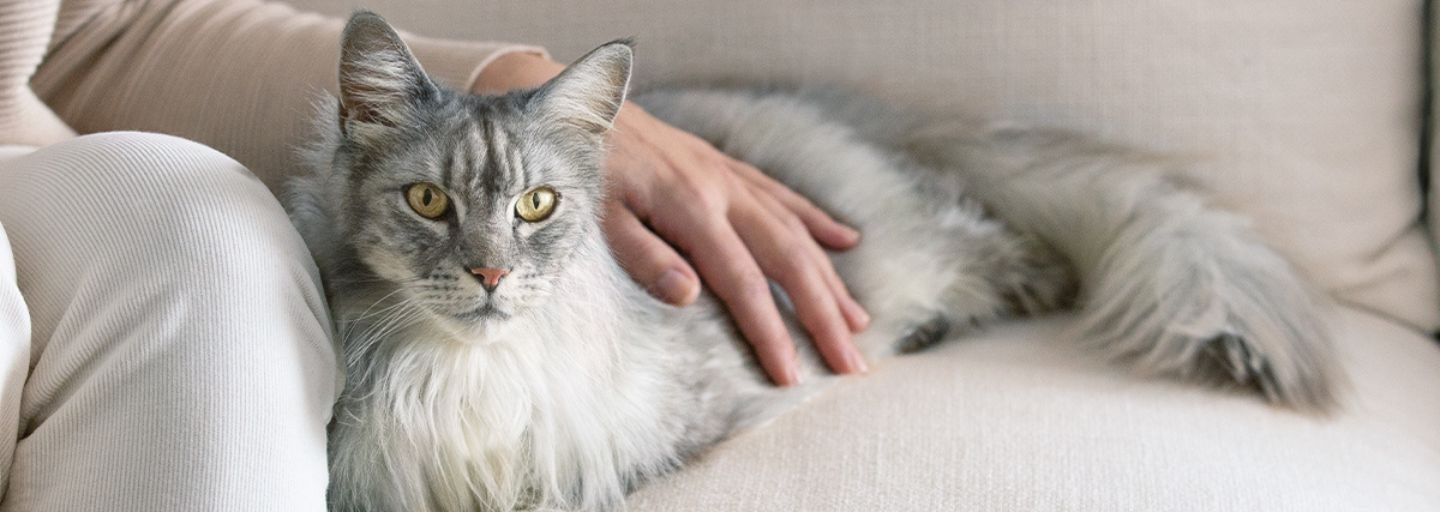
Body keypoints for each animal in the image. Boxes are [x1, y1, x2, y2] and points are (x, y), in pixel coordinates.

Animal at [289, 11, 1336, 512]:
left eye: (535, 206)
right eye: (430, 202)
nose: (491, 274)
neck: (467, 377)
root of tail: (870, 119)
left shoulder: (672, 428)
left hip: (902, 243)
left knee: (1024, 255)